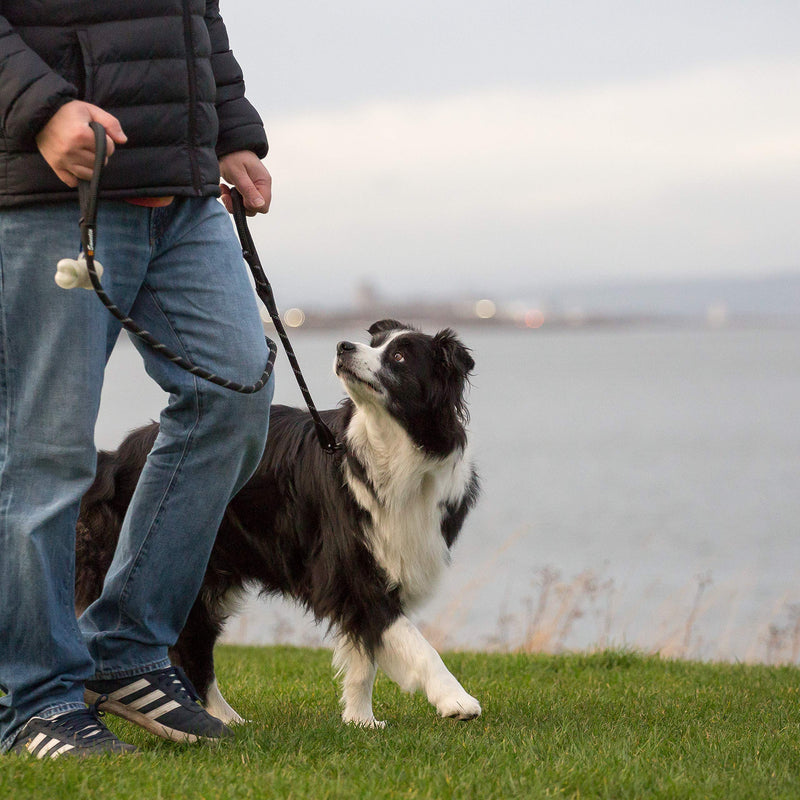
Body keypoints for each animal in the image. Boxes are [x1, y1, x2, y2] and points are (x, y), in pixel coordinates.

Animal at [76, 318, 482, 724]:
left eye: (398, 356)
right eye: (375, 343)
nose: (343, 346)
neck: (394, 446)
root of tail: (113, 458)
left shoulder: (378, 562)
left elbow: (364, 655)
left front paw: (360, 720)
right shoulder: (351, 567)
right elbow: (411, 639)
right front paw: (456, 700)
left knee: (192, 643)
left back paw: (225, 719)